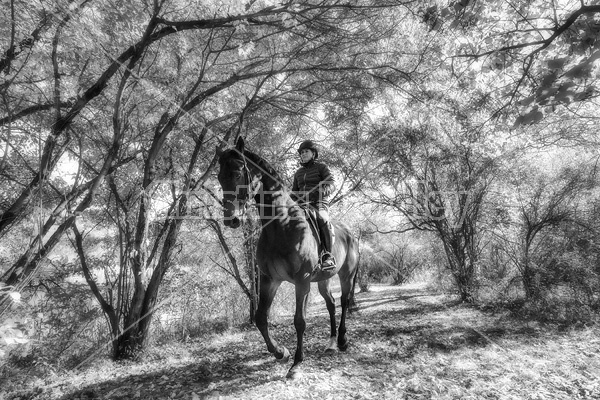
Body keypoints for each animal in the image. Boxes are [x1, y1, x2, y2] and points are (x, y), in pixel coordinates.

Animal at [216, 137, 356, 378]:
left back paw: (342, 340)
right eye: (218, 176)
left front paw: (297, 363)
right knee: (331, 303)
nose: (231, 219)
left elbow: (299, 321)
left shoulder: (302, 280)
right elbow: (261, 317)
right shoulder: (269, 279)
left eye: (237, 172)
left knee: (344, 301)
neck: (281, 226)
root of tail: (350, 233)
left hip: (346, 275)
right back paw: (330, 343)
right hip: (324, 280)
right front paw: (281, 352)